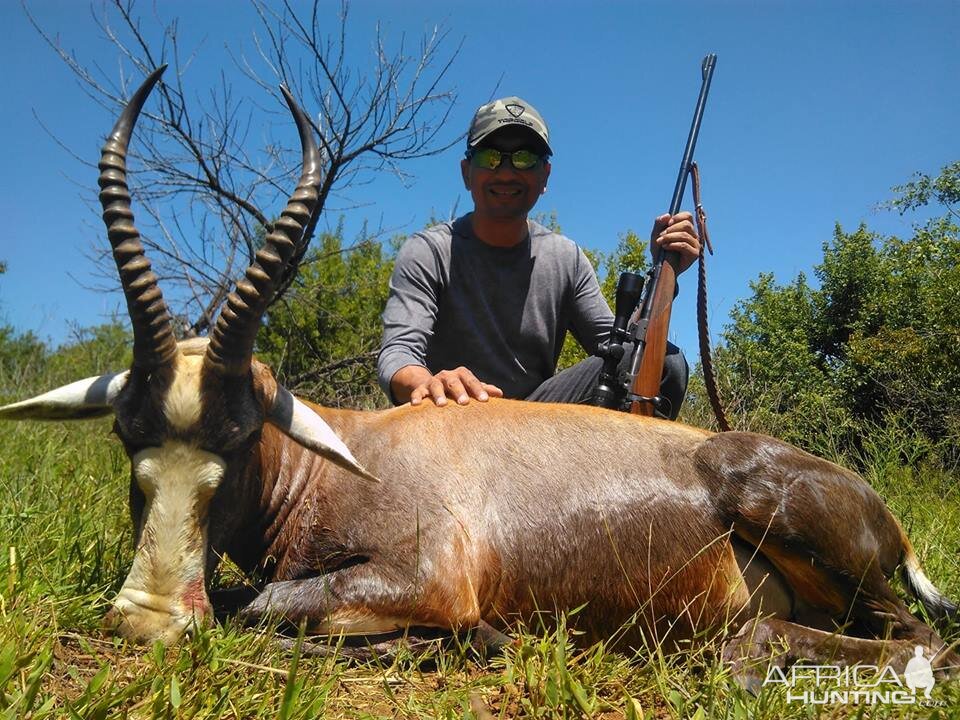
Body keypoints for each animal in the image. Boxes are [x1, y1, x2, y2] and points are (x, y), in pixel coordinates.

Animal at [1, 66, 960, 680]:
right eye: (127, 433)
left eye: (238, 435)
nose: (150, 619)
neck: (346, 454)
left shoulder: (427, 577)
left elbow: (263, 603)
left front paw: (460, 641)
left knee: (918, 641)